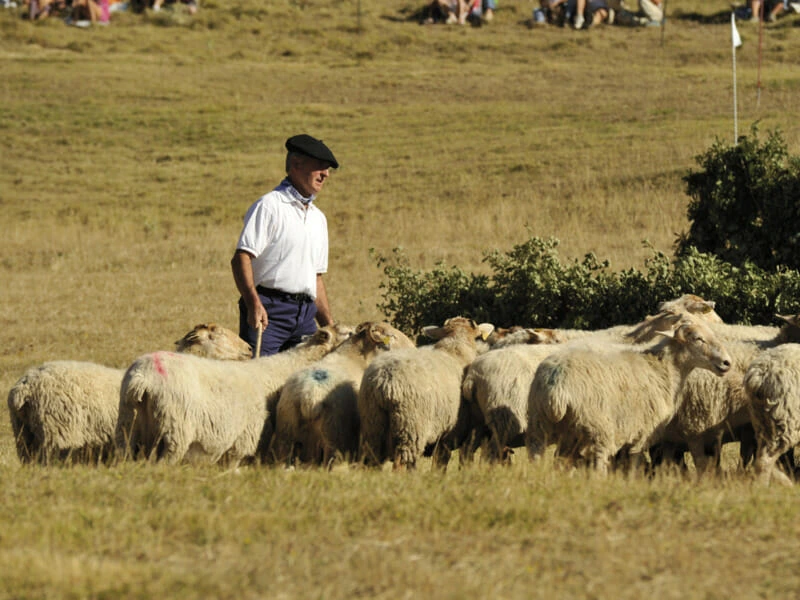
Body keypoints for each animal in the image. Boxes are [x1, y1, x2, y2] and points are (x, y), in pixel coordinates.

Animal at [118, 324, 354, 464]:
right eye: (348, 333)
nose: (249, 349)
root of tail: (142, 377)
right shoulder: (246, 440)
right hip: (174, 433)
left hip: (128, 427)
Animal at [272, 322, 416, 466]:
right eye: (392, 336)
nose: (413, 348)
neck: (355, 358)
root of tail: (308, 397)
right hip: (334, 439)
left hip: (286, 435)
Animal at [358, 316, 494, 472]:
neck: (457, 348)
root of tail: (383, 381)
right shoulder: (454, 437)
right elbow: (446, 466)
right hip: (410, 428)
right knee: (399, 465)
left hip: (373, 424)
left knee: (370, 462)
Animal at [524, 316, 732, 476]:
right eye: (698, 339)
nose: (726, 363)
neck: (663, 369)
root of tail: (556, 389)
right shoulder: (643, 431)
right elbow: (634, 463)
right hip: (597, 428)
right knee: (598, 462)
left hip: (540, 426)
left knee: (539, 457)